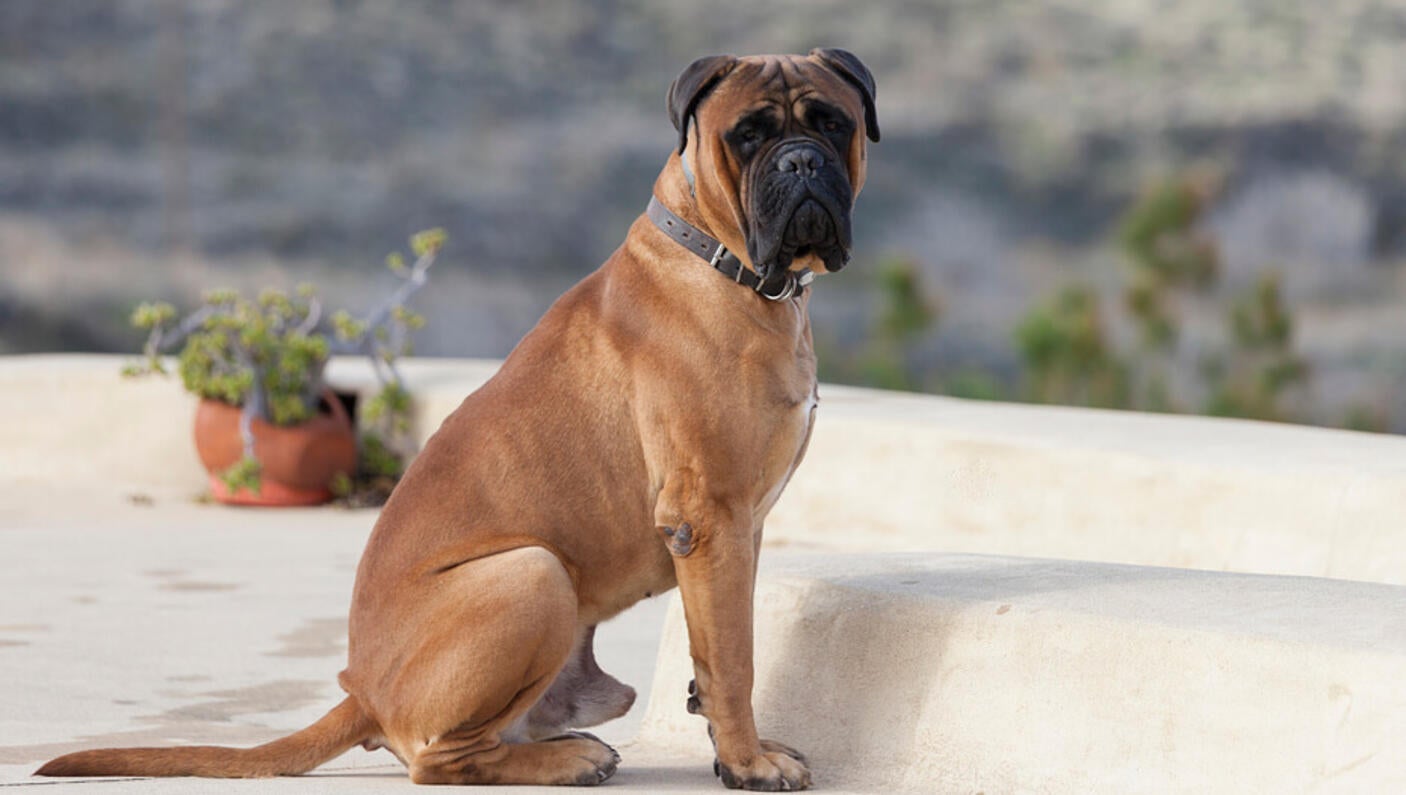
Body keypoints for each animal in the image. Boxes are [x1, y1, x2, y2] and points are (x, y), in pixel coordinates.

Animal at [41, 49, 877, 787]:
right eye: (749, 134)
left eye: (833, 123)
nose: (801, 162)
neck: (720, 257)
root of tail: (363, 692)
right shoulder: (707, 519)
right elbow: (733, 658)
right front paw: (748, 764)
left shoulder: (739, 528)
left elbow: (726, 644)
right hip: (532, 574)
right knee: (441, 759)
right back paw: (565, 761)